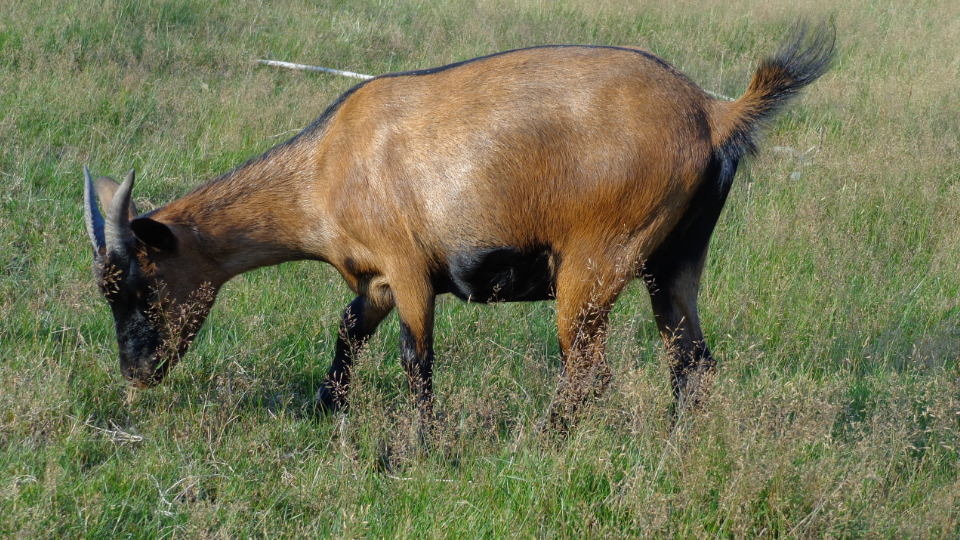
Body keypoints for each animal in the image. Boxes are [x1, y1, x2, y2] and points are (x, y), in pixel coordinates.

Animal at [82, 25, 832, 436]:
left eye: (141, 288)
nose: (136, 374)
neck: (324, 169)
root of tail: (713, 111)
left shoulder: (410, 265)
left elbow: (416, 358)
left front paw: (416, 449)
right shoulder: (376, 280)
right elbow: (348, 332)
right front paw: (325, 406)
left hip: (599, 260)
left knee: (589, 371)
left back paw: (544, 441)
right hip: (673, 259)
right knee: (691, 361)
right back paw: (678, 443)